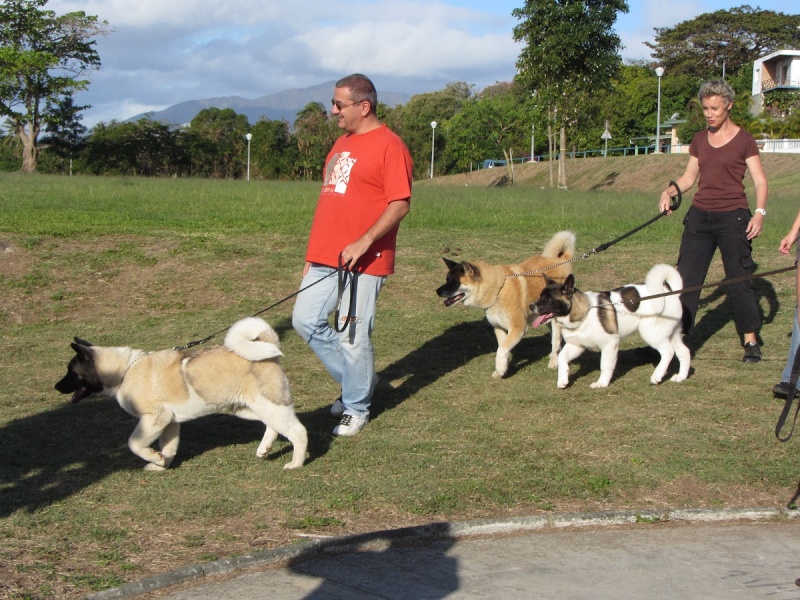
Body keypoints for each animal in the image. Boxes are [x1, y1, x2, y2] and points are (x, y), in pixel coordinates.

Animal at [54, 316, 308, 472]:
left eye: (71, 372)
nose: (56, 387)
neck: (125, 369)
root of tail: (269, 347)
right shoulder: (169, 422)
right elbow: (169, 447)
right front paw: (161, 464)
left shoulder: (154, 419)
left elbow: (134, 443)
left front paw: (154, 458)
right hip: (248, 407)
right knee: (273, 426)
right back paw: (264, 449)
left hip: (268, 404)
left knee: (298, 432)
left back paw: (295, 463)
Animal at [434, 232, 580, 378]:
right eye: (447, 279)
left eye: (455, 282)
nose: (437, 291)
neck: (498, 290)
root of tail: (561, 258)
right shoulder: (499, 328)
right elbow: (502, 348)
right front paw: (504, 368)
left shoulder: (518, 328)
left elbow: (501, 349)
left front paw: (500, 369)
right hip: (544, 316)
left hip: (555, 319)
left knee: (556, 340)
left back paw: (553, 362)